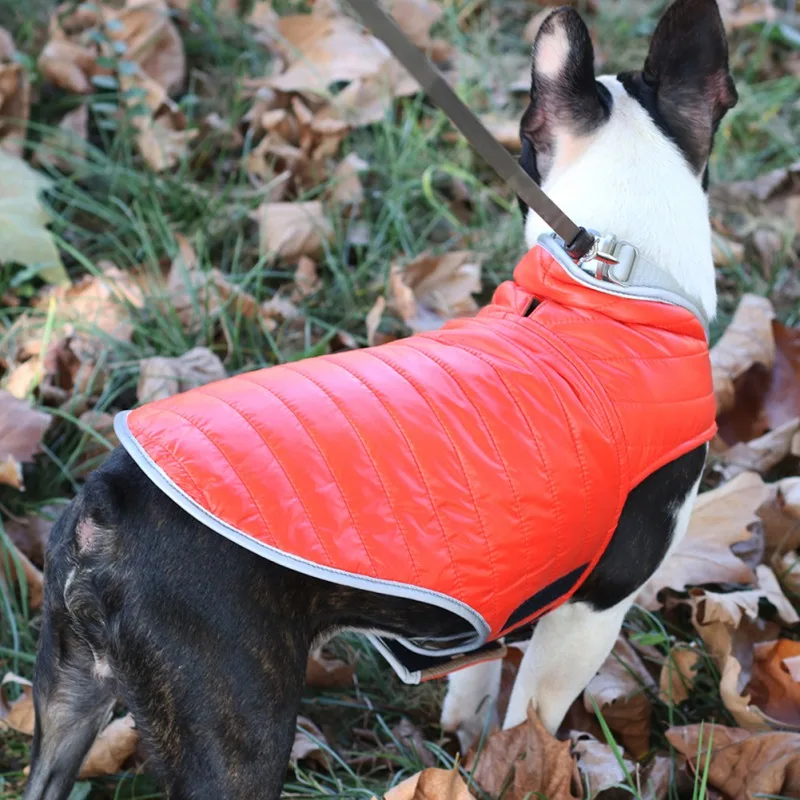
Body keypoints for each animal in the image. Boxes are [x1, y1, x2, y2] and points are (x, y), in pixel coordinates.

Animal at [25, 0, 736, 796]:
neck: (612, 284)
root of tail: (104, 509)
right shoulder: (589, 616)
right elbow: (531, 714)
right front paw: (523, 769)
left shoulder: (517, 588)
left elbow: (479, 690)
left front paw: (469, 746)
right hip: (234, 720)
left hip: (68, 698)